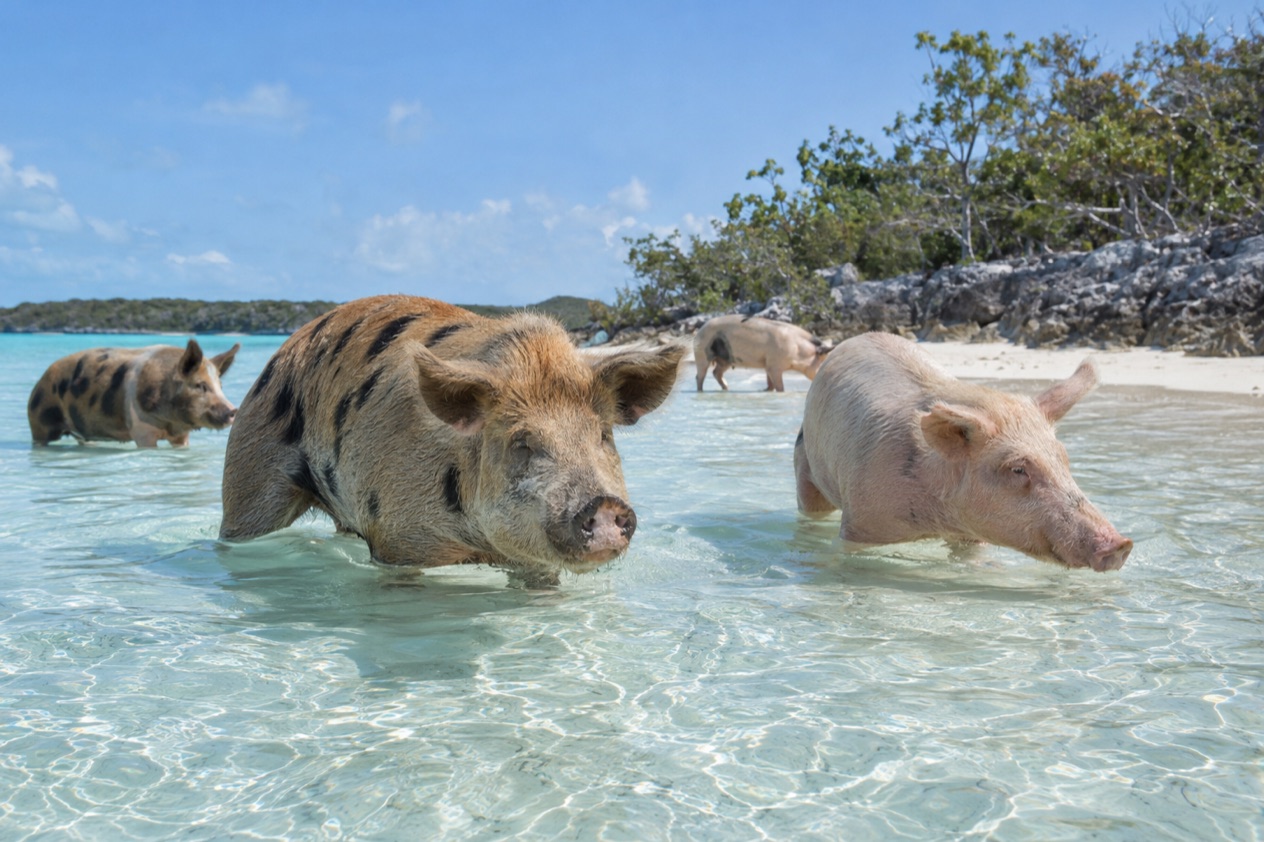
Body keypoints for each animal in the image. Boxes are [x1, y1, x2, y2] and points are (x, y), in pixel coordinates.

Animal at [28, 339, 240, 447]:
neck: (171, 422)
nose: (233, 411)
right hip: (40, 423)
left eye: (220, 385)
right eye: (200, 385)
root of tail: (40, 381)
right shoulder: (141, 429)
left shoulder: (181, 435)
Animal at [218, 295, 684, 588]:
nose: (603, 505)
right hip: (250, 470)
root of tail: (282, 351)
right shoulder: (397, 538)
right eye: (521, 442)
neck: (478, 545)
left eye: (602, 434)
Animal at [694, 314, 832, 391]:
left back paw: (727, 389)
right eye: (823, 362)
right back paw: (701, 391)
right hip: (703, 352)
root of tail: (699, 330)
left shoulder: (767, 363)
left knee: (716, 372)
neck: (797, 350)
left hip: (725, 359)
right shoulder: (774, 364)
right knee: (700, 375)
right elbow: (780, 387)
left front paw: (766, 390)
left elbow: (770, 383)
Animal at [793, 332, 1132, 572]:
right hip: (804, 461)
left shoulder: (971, 535)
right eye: (1017, 468)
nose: (1120, 544)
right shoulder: (859, 523)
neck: (937, 519)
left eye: (1064, 458)